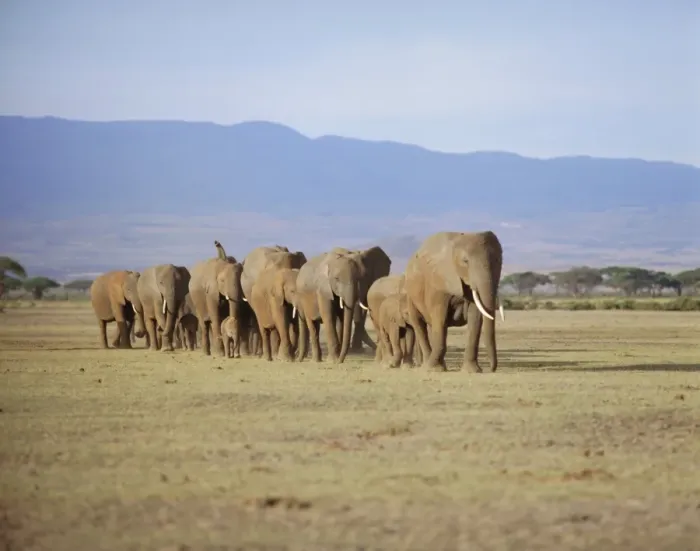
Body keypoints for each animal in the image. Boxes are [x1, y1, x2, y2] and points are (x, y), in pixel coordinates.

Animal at [404, 231, 505, 373]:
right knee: (419, 324)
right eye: (465, 261)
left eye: (498, 261)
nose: (491, 369)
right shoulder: (438, 281)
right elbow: (439, 317)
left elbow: (475, 318)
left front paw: (472, 371)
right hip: (410, 294)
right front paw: (435, 369)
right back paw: (428, 366)